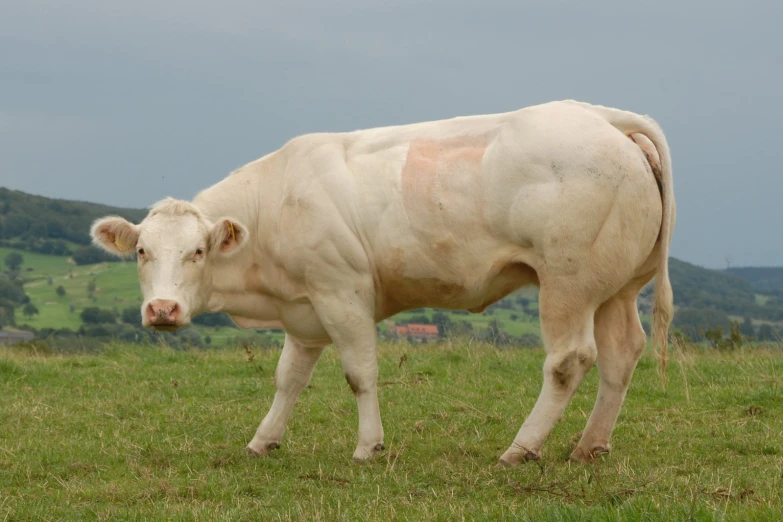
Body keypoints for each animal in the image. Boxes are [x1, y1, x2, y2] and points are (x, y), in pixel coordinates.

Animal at [92, 99, 672, 462]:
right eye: (142, 252)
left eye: (197, 252)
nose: (162, 311)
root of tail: (600, 116)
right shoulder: (304, 308)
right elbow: (288, 379)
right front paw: (263, 441)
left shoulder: (341, 292)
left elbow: (360, 374)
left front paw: (367, 447)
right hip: (617, 287)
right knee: (622, 353)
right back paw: (589, 445)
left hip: (567, 284)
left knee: (568, 361)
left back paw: (521, 448)